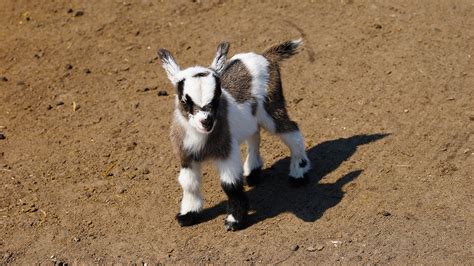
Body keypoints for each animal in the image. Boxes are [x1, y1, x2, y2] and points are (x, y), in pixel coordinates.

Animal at [158, 39, 312, 231]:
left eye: (217, 96)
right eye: (185, 101)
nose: (206, 121)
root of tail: (266, 56)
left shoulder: (227, 151)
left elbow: (229, 185)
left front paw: (234, 220)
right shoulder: (186, 155)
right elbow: (188, 183)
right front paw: (188, 214)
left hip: (271, 106)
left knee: (292, 131)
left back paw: (299, 173)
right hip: (253, 117)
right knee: (254, 135)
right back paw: (253, 172)